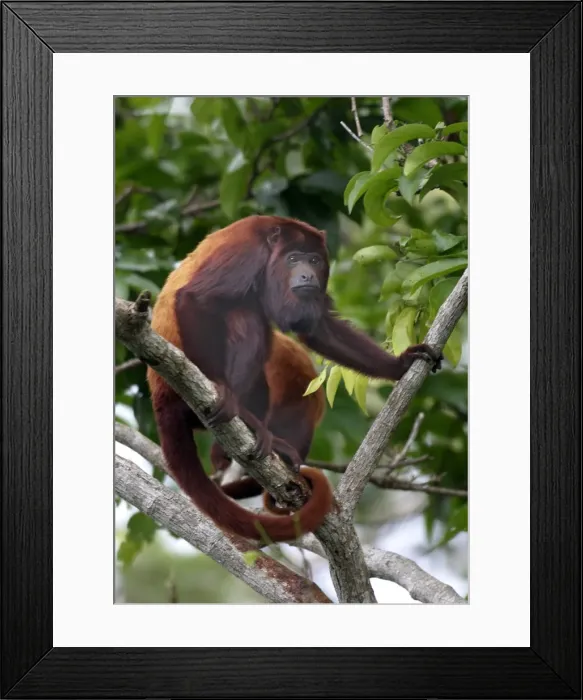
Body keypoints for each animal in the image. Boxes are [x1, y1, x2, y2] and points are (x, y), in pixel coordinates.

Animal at [147, 215, 441, 542]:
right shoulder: (246, 253)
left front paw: (400, 364)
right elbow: (192, 298)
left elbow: (319, 327)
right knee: (246, 318)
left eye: (314, 260)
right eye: (293, 259)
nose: (306, 275)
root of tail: (159, 396)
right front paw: (220, 389)